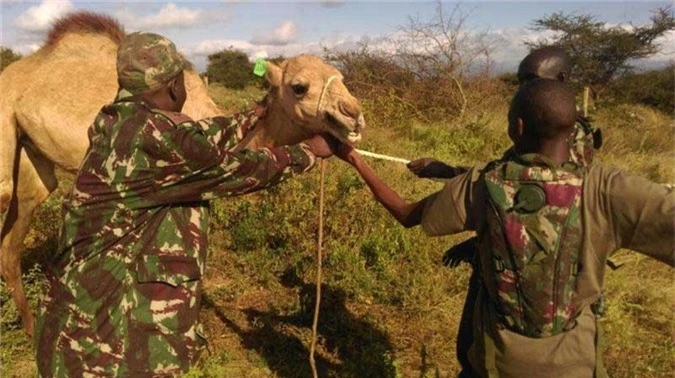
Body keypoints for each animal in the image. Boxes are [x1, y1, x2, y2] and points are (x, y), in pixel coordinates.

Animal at [0, 11, 368, 336]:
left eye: (341, 77)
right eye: (299, 86)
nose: (353, 114)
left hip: (32, 159)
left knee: (12, 241)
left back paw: (31, 328)